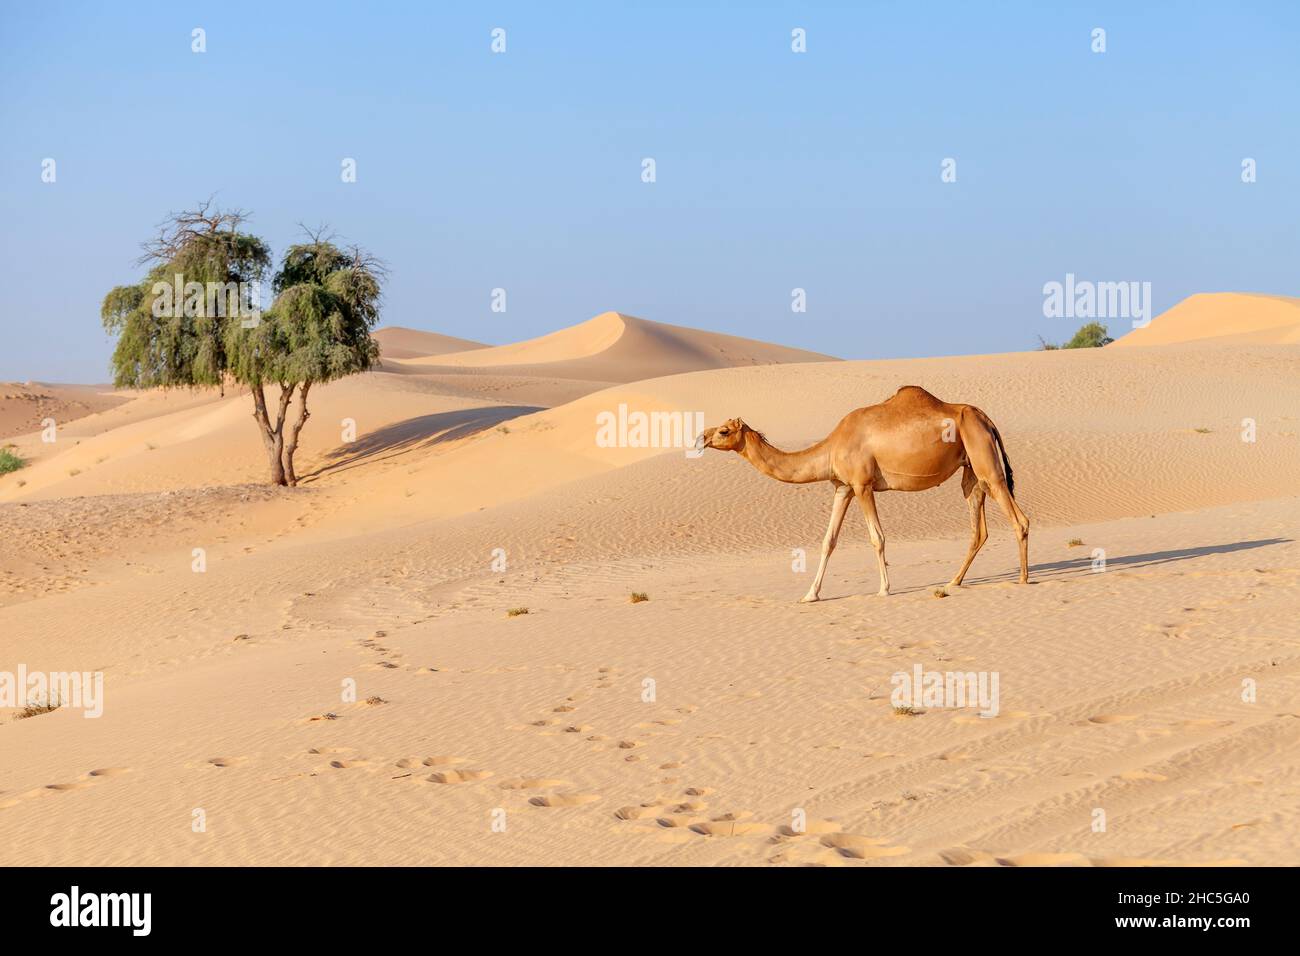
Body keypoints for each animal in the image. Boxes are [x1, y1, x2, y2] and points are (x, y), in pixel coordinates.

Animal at [696, 385, 1029, 600]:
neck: (832, 447)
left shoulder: (862, 484)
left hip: (986, 462)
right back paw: (953, 581)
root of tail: (986, 419)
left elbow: (877, 538)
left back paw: (1024, 579)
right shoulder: (842, 488)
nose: (702, 437)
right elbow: (828, 541)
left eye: (724, 431)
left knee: (1019, 519)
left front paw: (884, 589)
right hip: (971, 470)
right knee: (978, 527)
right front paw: (810, 594)